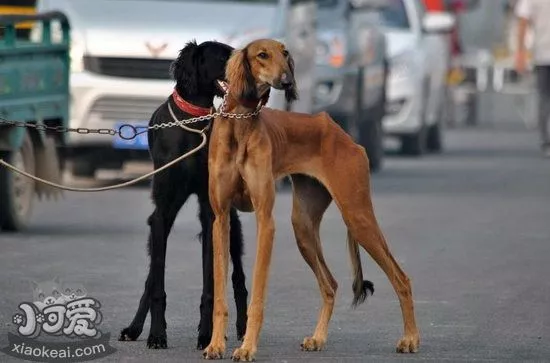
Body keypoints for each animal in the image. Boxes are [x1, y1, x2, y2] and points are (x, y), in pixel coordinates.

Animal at [121, 41, 252, 352]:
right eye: (224, 55)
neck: (193, 119)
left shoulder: (211, 214)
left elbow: (210, 286)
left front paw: (206, 335)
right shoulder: (162, 212)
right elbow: (156, 283)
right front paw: (157, 334)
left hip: (231, 223)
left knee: (238, 278)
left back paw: (242, 328)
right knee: (151, 277)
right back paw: (134, 328)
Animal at [205, 38, 420, 362]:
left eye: (286, 54)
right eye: (262, 55)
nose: (287, 81)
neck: (240, 122)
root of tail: (345, 136)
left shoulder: (266, 221)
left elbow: (257, 294)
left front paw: (247, 347)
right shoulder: (221, 219)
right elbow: (220, 293)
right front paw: (216, 344)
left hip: (357, 216)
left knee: (402, 278)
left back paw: (410, 339)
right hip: (303, 227)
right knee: (330, 284)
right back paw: (318, 338)